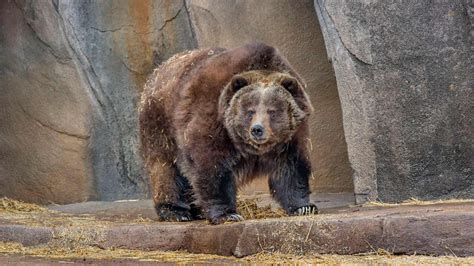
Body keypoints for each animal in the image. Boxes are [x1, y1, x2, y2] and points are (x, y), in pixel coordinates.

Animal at [139, 42, 316, 224]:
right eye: (250, 111)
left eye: (272, 111)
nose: (257, 129)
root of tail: (156, 72)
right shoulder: (213, 120)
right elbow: (212, 166)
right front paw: (227, 214)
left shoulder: (291, 136)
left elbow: (291, 168)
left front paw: (303, 207)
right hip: (161, 126)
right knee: (166, 168)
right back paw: (175, 211)